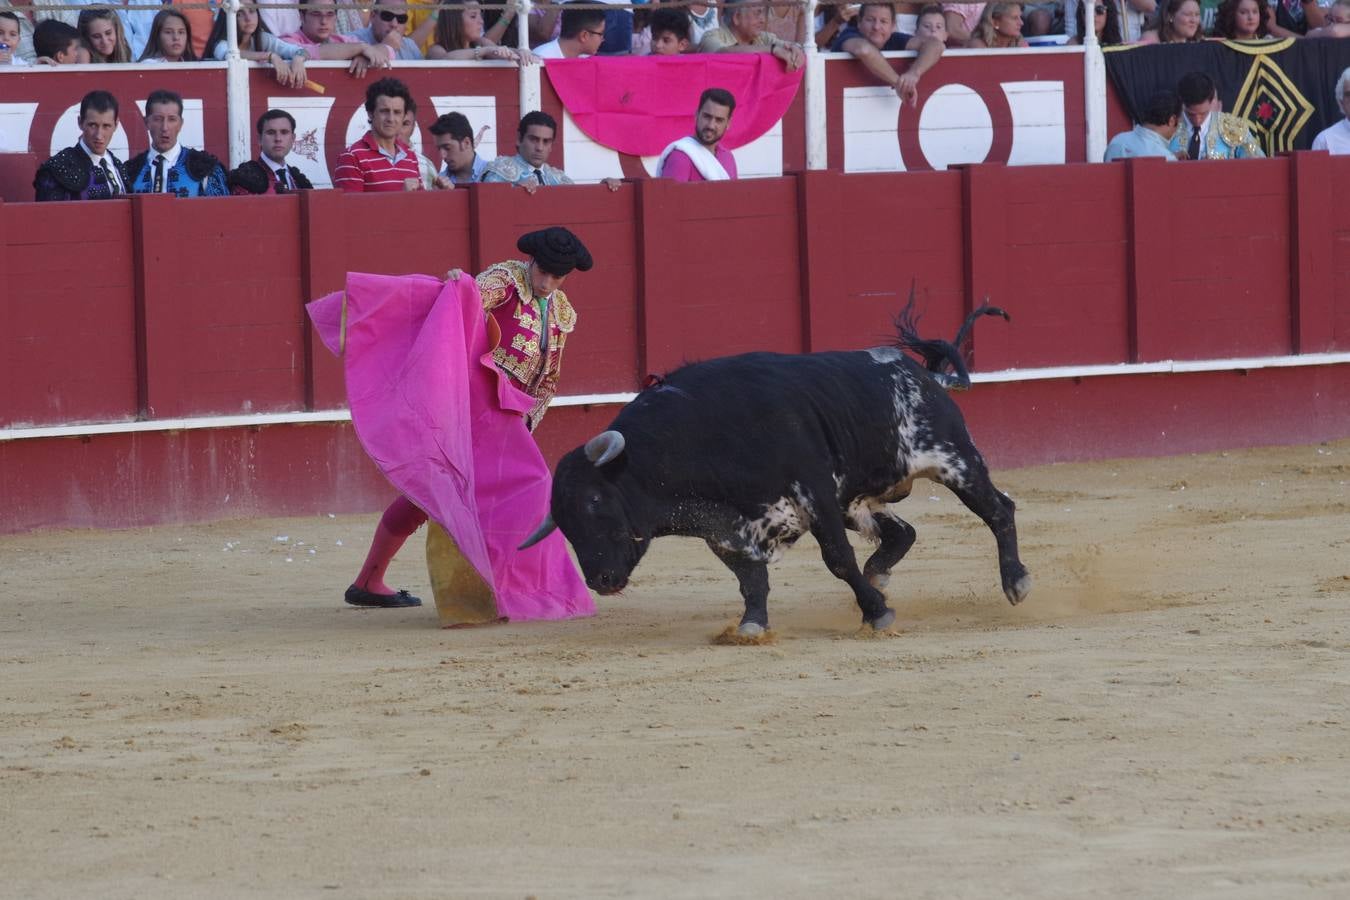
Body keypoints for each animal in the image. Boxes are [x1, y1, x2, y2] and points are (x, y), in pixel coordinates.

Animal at [521, 306, 1026, 636]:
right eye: (563, 522)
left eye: (595, 500)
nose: (600, 581)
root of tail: (927, 375)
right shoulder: (725, 528)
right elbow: (750, 579)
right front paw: (751, 625)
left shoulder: (814, 493)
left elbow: (837, 560)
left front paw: (876, 613)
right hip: (857, 500)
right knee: (903, 532)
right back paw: (880, 574)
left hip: (952, 459)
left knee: (999, 510)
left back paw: (1016, 582)